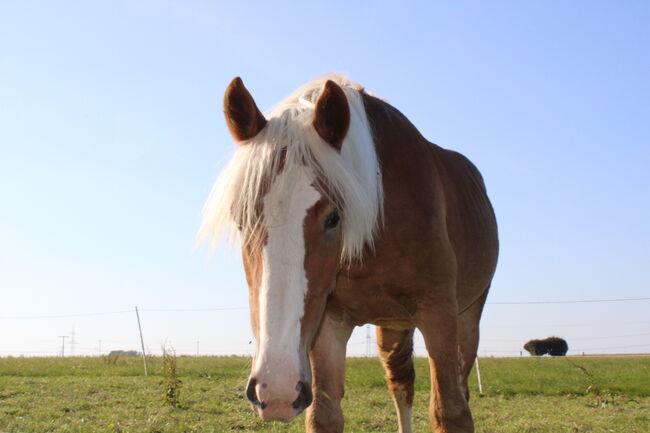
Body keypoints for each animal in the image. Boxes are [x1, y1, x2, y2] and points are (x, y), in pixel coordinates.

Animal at [200, 75, 498, 432]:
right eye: (241, 219)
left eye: (333, 217)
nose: (276, 391)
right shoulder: (328, 322)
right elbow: (324, 416)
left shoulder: (438, 311)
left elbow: (450, 412)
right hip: (393, 326)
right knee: (401, 384)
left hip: (467, 317)